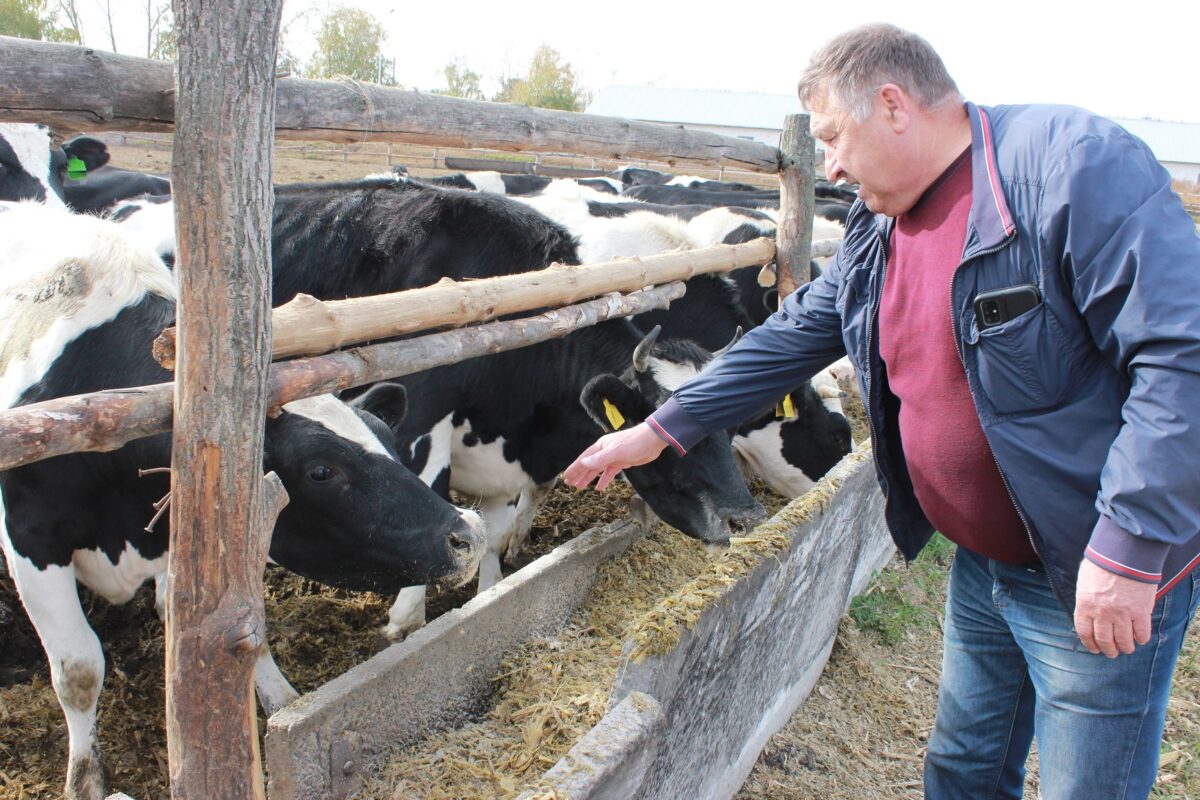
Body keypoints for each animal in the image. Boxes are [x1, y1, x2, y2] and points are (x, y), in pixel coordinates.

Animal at [1, 206, 487, 800]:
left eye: (389, 440)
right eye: (321, 470)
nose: (468, 536)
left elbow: (237, 628)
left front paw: (281, 703)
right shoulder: (30, 540)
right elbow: (79, 670)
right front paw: (86, 779)